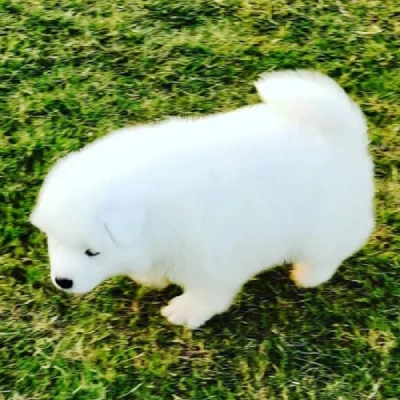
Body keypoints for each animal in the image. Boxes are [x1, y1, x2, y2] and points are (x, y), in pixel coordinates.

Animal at [30, 71, 376, 328]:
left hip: (326, 226)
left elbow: (207, 295)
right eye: (54, 240)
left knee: (332, 251)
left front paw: (183, 312)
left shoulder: (212, 263)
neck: (155, 217)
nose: (63, 281)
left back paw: (308, 275)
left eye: (92, 251)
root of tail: (345, 135)